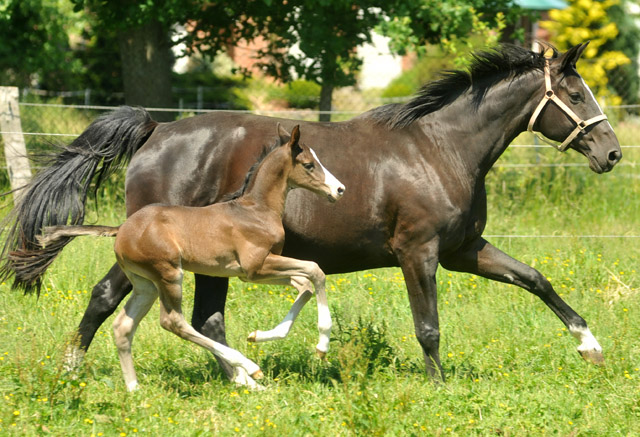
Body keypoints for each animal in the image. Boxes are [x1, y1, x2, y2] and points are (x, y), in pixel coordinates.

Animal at [40, 125, 344, 388]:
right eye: (309, 164)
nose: (339, 189)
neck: (255, 210)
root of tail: (122, 228)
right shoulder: (255, 268)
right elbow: (315, 270)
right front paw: (322, 345)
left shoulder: (260, 271)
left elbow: (304, 285)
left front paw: (259, 335)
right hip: (169, 273)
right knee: (173, 321)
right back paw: (247, 367)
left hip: (146, 284)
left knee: (123, 325)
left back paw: (134, 389)